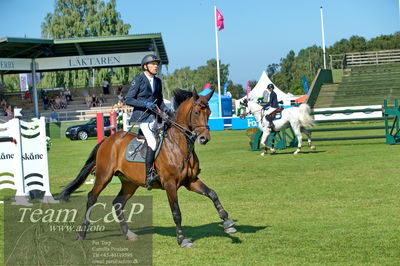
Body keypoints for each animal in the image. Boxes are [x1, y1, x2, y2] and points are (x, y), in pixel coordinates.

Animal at [60, 89, 236, 247]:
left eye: (210, 112)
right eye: (197, 112)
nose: (204, 138)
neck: (179, 145)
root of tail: (108, 140)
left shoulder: (191, 181)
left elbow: (212, 194)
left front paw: (228, 222)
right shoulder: (170, 184)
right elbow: (176, 212)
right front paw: (182, 239)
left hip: (130, 183)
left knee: (118, 203)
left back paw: (129, 234)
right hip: (104, 176)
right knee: (92, 198)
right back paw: (81, 233)